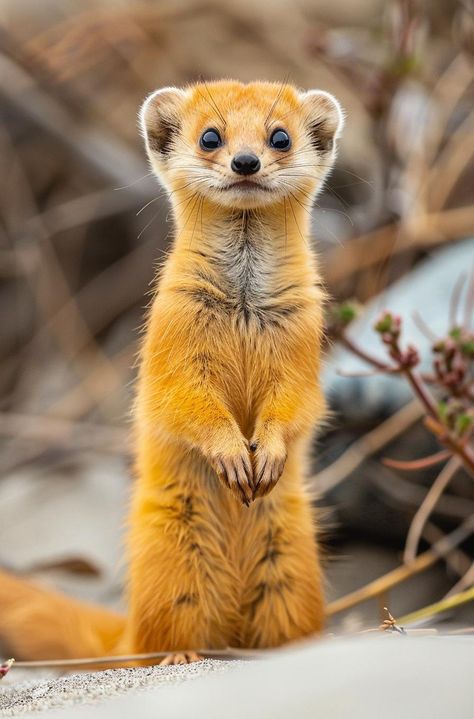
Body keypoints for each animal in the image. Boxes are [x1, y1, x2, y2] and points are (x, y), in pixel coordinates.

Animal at [0, 79, 340, 664]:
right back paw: (181, 654)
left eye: (280, 136)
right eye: (211, 136)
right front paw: (233, 455)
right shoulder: (170, 338)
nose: (246, 161)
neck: (243, 308)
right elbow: (179, 402)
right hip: (170, 554)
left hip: (293, 559)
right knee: (160, 635)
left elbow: (299, 406)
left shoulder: (303, 343)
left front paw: (267, 453)